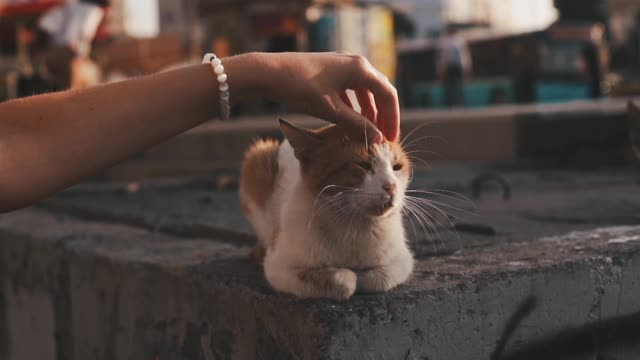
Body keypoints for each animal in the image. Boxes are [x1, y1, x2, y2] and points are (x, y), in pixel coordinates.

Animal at [240, 119, 416, 300]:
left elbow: (378, 278)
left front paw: (363, 275)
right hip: (257, 160)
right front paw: (350, 276)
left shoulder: (402, 260)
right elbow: (340, 280)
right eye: (364, 165)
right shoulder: (278, 268)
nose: (391, 186)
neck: (352, 226)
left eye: (397, 167)